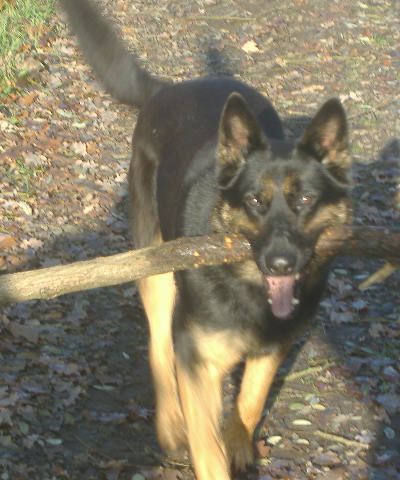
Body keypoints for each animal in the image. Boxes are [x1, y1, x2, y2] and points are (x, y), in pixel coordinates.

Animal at [61, 1, 352, 478]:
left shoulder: (272, 345)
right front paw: (212, 447)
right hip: (157, 272)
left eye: (305, 199)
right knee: (159, 346)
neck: (245, 283)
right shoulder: (198, 359)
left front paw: (239, 441)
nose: (281, 263)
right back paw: (169, 424)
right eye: (255, 201)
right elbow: (206, 443)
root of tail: (169, 89)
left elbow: (251, 399)